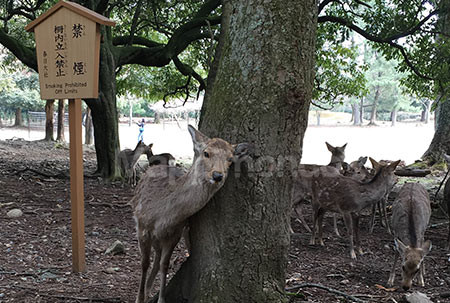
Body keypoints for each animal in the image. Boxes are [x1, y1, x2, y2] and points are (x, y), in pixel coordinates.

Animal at [130, 125, 250, 303]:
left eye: (230, 159)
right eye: (206, 153)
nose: (217, 175)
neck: (163, 215)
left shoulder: (175, 232)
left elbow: (165, 264)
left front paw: (161, 299)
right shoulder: (142, 227)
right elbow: (144, 263)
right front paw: (139, 298)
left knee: (159, 257)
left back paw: (150, 288)